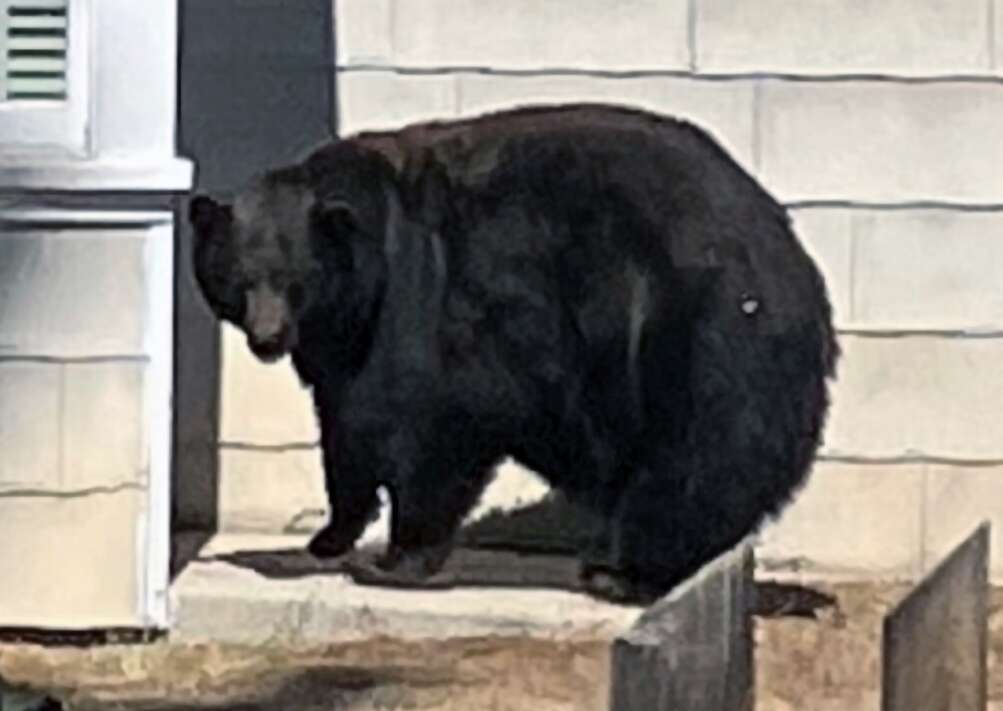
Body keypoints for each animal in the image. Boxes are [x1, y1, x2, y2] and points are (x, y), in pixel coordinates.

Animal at [188, 102, 838, 601]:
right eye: (239, 279)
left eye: (295, 280)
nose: (268, 338)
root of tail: (796, 264)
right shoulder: (343, 345)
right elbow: (346, 428)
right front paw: (329, 535)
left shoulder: (431, 303)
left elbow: (430, 426)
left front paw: (394, 559)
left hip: (694, 333)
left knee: (694, 456)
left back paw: (623, 572)